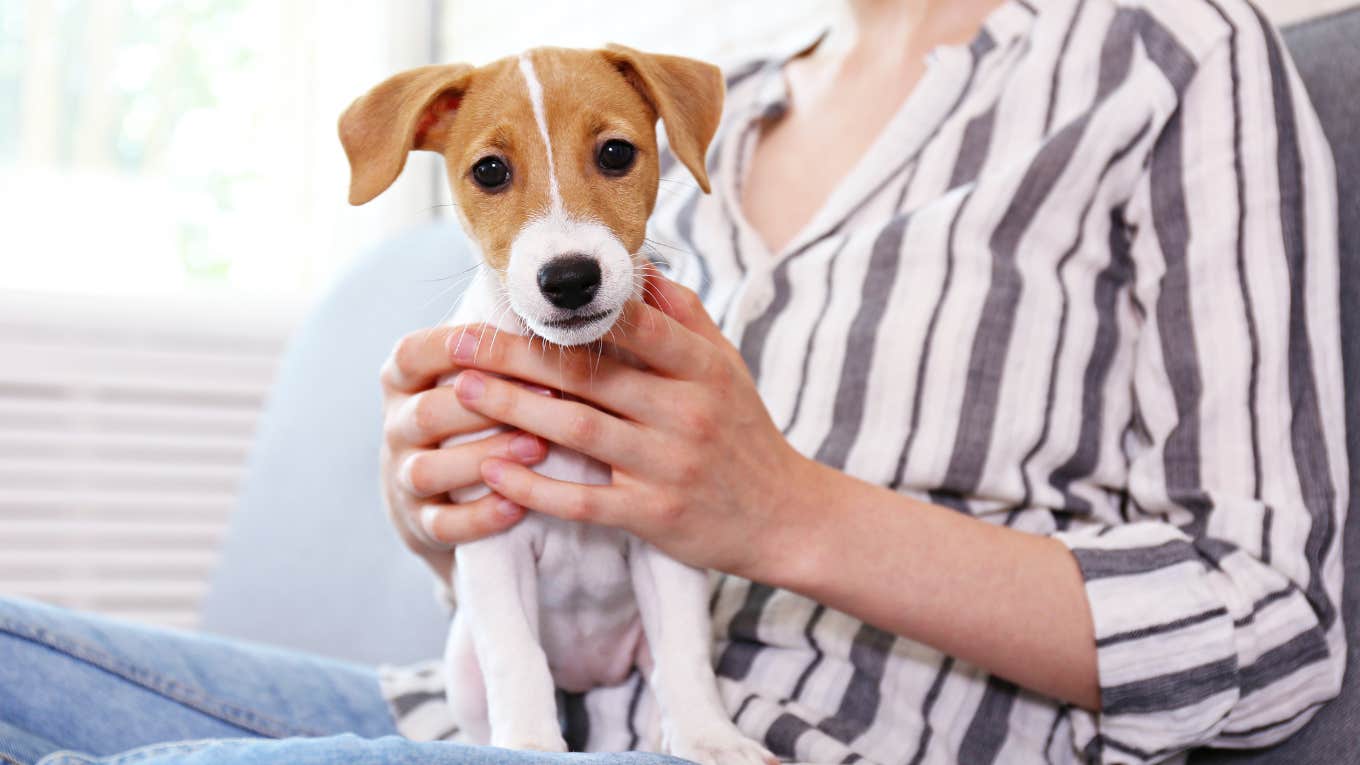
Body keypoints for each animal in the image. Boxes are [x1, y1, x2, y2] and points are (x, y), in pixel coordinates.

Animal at [340, 47, 777, 762]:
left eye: (616, 153)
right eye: (490, 170)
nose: (570, 278)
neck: (569, 372)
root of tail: (586, 676)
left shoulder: (667, 540)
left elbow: (686, 658)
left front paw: (713, 740)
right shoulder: (492, 537)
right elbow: (517, 659)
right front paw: (528, 743)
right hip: (463, 661)